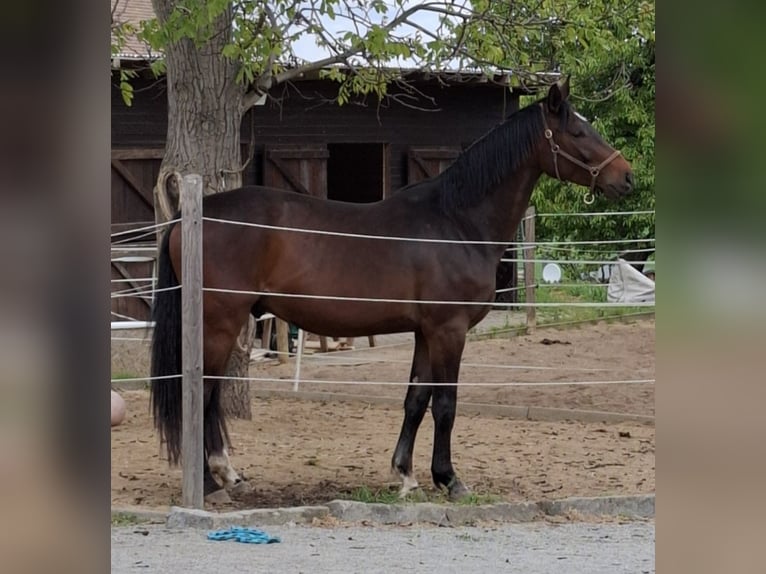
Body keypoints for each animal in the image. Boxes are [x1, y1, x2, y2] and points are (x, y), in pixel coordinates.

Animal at [150, 76, 634, 503]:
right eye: (578, 131)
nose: (626, 177)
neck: (456, 223)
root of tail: (189, 216)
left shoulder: (425, 332)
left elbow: (416, 400)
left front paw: (406, 475)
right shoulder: (449, 330)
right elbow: (446, 403)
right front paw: (449, 479)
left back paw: (225, 475)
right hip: (219, 322)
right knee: (203, 391)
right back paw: (211, 481)